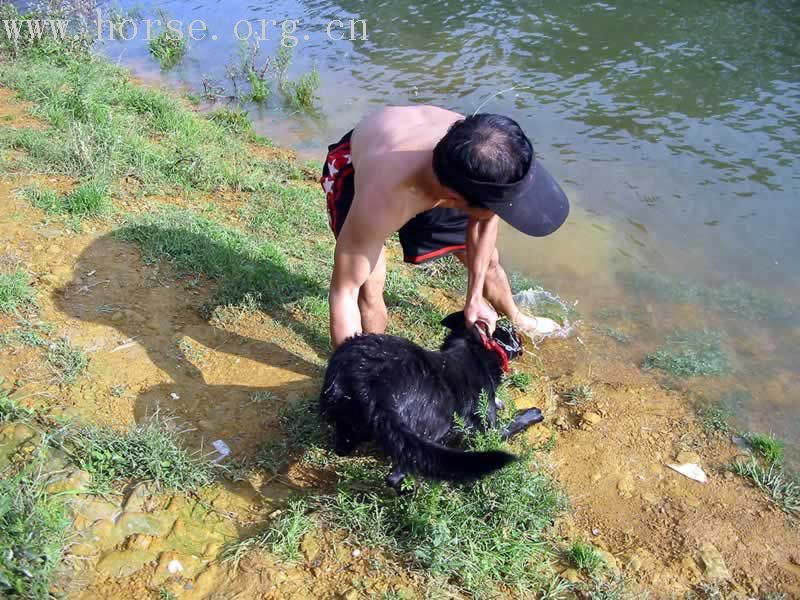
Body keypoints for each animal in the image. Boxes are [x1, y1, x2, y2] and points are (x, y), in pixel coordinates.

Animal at [318, 310, 544, 488]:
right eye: (509, 330)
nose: (515, 327)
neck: (473, 350)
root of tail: (371, 386)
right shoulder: (487, 431)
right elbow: (511, 424)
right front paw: (533, 414)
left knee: (343, 446)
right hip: (433, 427)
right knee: (396, 476)